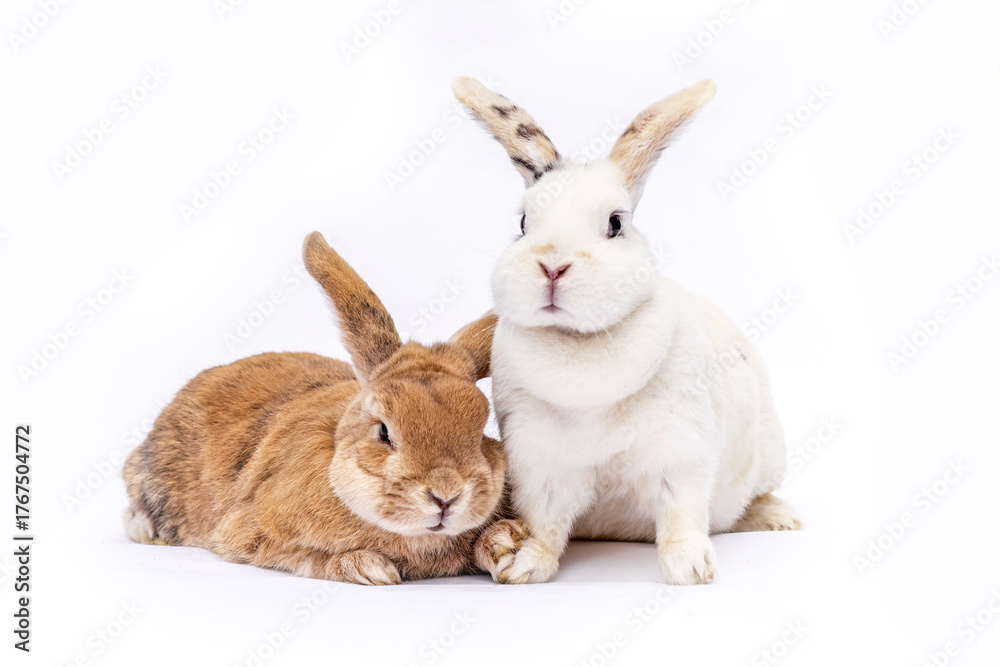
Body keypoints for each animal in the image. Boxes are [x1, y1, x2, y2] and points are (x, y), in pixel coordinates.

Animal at [122, 231, 524, 584]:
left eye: (481, 428)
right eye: (383, 431)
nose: (445, 495)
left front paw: (508, 548)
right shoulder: (249, 533)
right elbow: (307, 557)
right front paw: (367, 568)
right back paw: (148, 530)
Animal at [452, 77, 801, 585]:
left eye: (616, 224)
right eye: (522, 223)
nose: (552, 265)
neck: (579, 344)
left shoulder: (681, 453)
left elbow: (681, 515)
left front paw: (690, 569)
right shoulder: (539, 464)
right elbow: (544, 521)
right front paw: (524, 565)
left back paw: (781, 518)